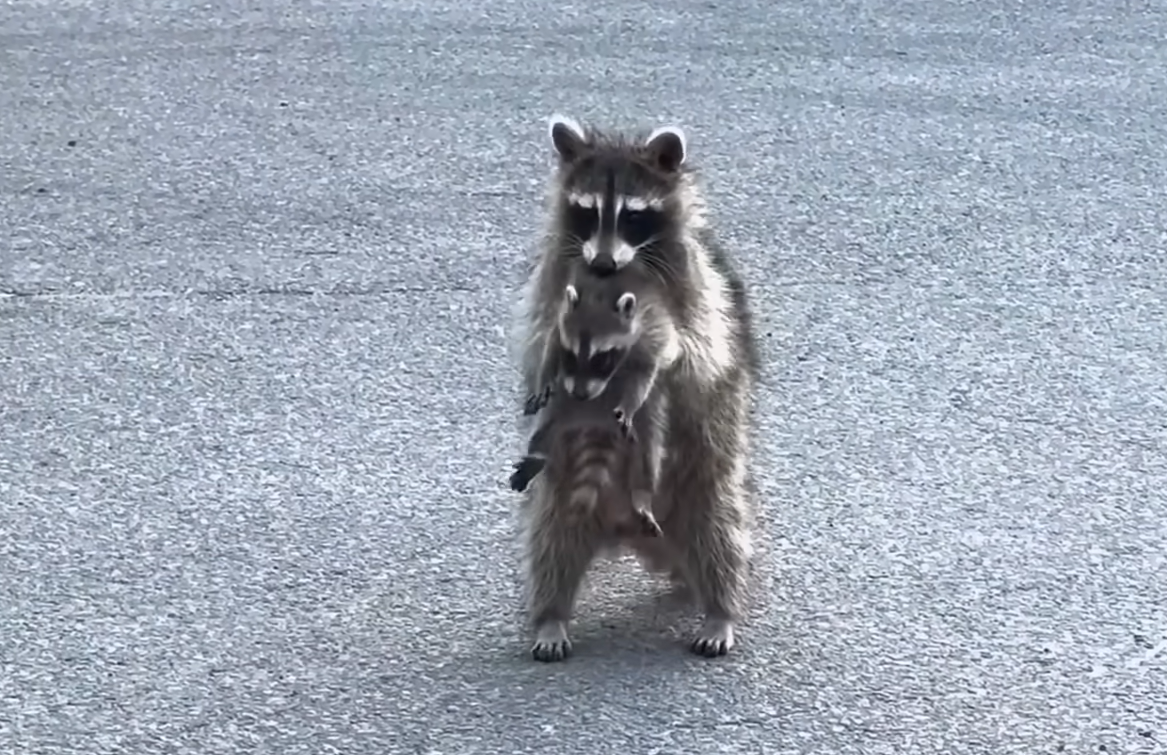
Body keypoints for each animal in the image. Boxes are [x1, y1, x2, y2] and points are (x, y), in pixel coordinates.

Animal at [511, 114, 760, 661]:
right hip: (564, 493)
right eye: (587, 212)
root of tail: (628, 524)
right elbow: (542, 333)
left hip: (702, 477)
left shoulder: (695, 289)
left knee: (719, 535)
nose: (603, 263)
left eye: (632, 216)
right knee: (552, 540)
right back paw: (550, 615)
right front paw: (544, 372)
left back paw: (720, 609)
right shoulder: (557, 274)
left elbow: (697, 352)